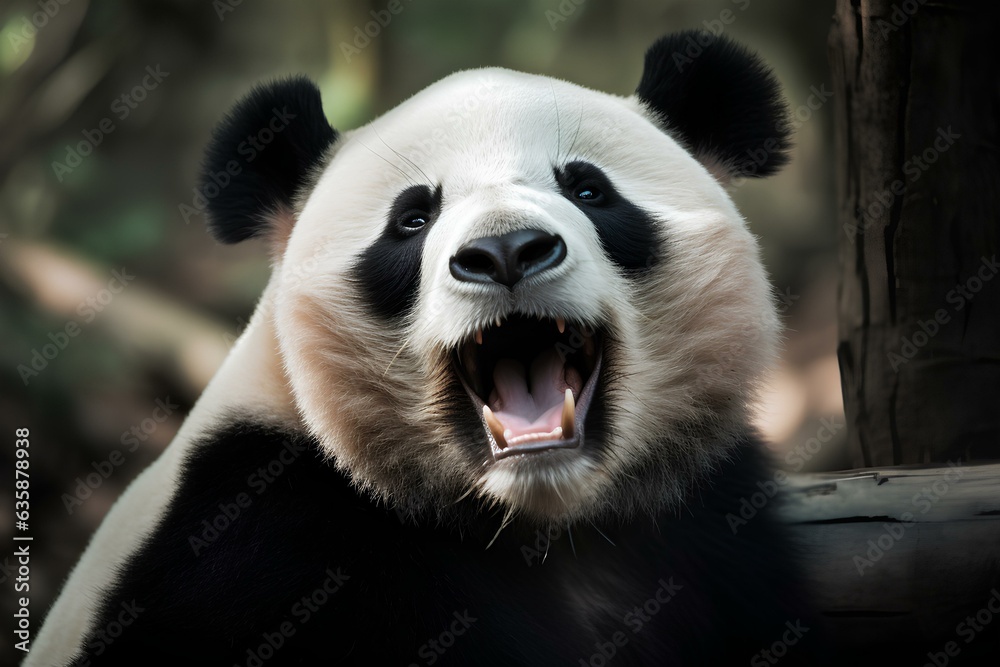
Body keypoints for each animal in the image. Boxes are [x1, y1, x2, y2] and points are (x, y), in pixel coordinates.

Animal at [29, 30, 823, 666]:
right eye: (412, 218)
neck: (538, 521)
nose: (505, 251)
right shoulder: (250, 549)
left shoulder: (707, 533)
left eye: (589, 189)